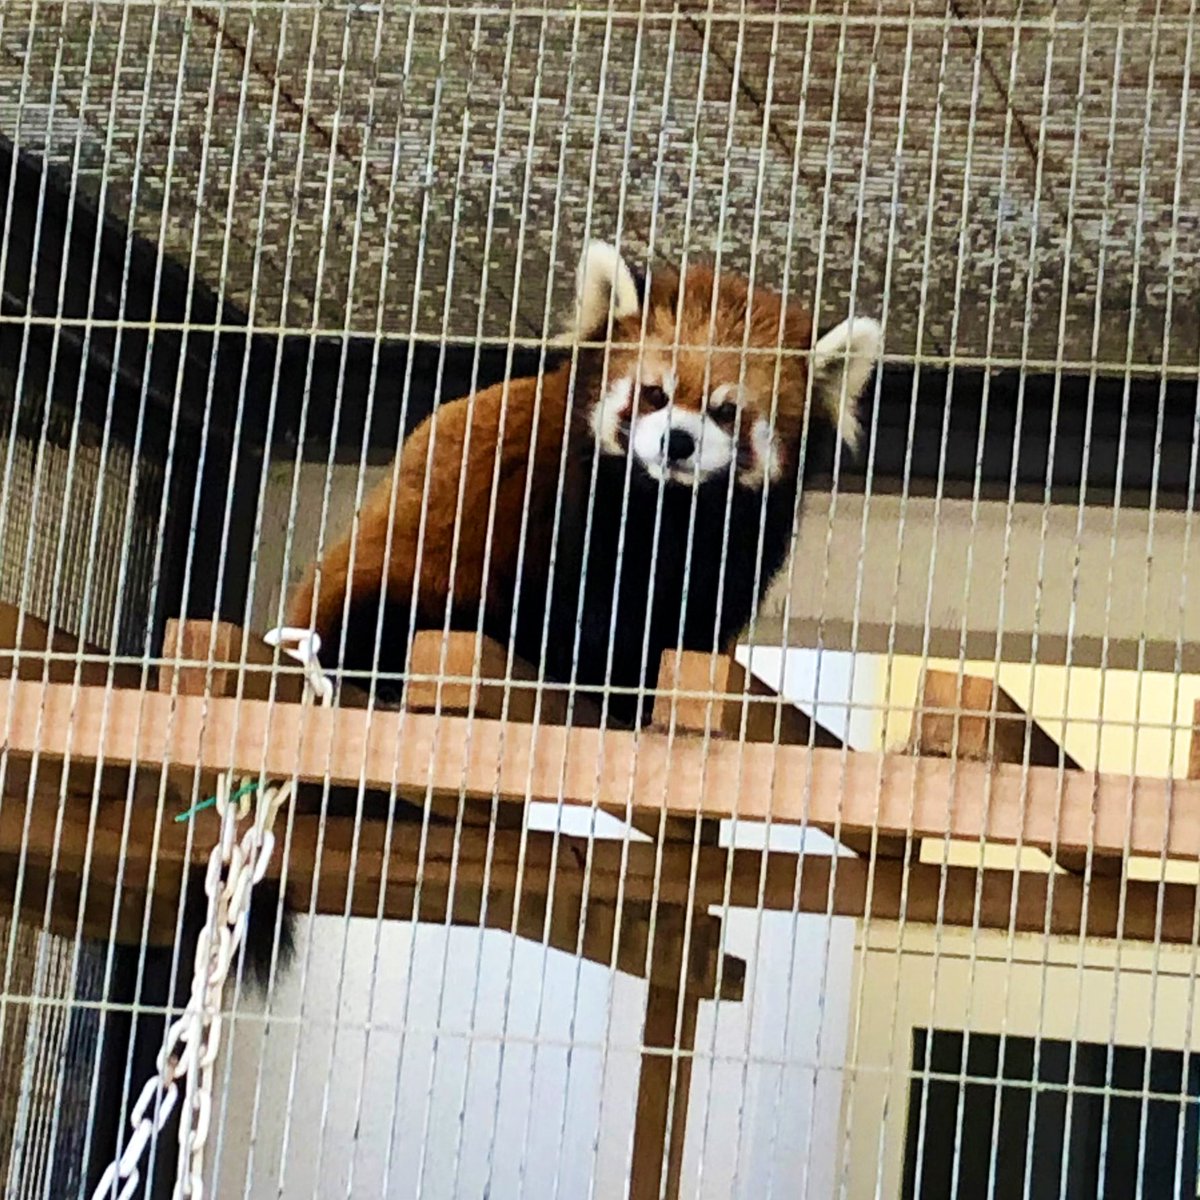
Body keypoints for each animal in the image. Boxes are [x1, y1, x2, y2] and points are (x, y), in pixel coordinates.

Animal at [284, 234, 878, 720]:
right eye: (655, 394)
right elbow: (576, 613)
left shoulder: (739, 541)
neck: (668, 507)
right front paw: (603, 683)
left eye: (726, 411)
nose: (677, 442)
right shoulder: (558, 504)